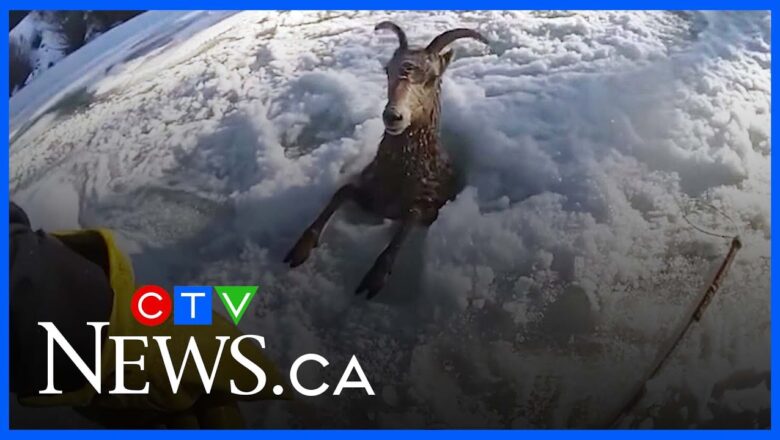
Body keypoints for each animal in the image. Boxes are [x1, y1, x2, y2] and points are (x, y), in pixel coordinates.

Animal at [284, 21, 489, 298]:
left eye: (433, 77)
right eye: (387, 70)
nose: (393, 116)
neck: (401, 174)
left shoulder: (429, 206)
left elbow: (409, 219)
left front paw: (374, 280)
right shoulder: (371, 193)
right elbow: (342, 191)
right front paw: (299, 249)